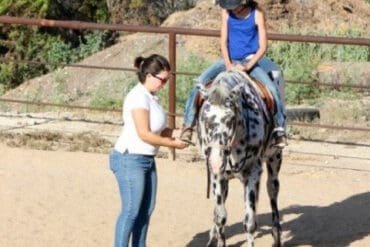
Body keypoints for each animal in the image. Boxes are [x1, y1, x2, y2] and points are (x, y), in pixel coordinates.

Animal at [197, 69, 284, 247]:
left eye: (230, 118)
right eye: (205, 119)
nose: (216, 161)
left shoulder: (253, 172)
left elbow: (250, 222)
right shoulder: (217, 175)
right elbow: (220, 217)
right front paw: (218, 239)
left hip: (275, 158)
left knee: (272, 190)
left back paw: (276, 236)